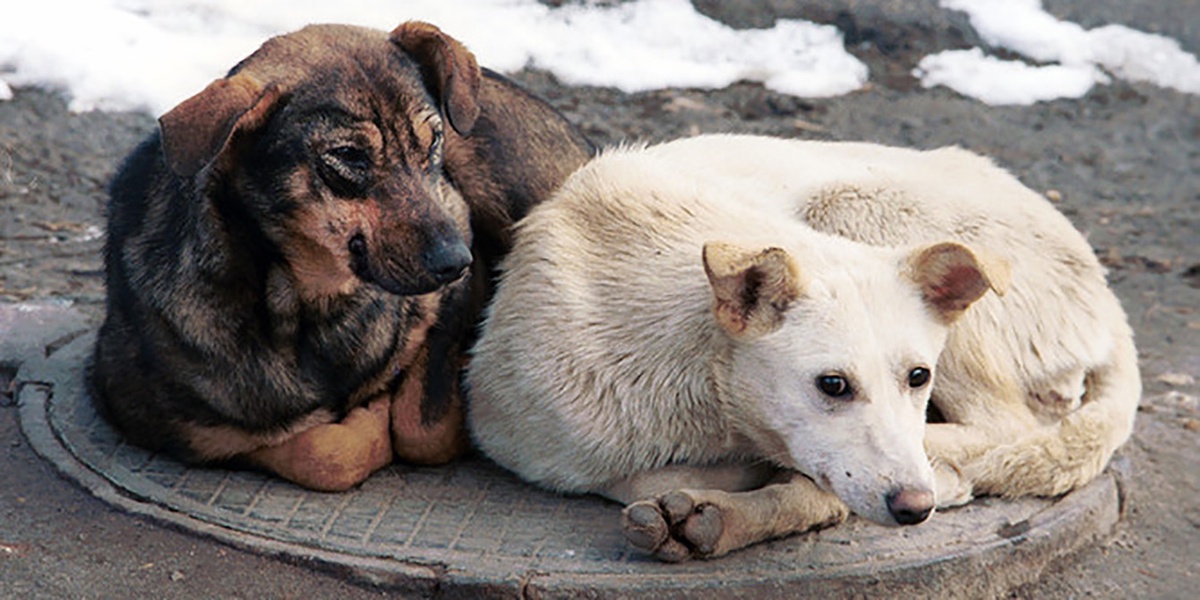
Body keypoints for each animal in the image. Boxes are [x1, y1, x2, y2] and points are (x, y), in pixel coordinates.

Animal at [87, 22, 590, 492]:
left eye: (432, 141)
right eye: (348, 155)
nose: (455, 261)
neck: (308, 309)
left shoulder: (455, 254)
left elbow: (422, 428)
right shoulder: (166, 423)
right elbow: (322, 452)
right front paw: (369, 415)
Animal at [463, 133, 1137, 559]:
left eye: (918, 377)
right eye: (832, 385)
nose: (914, 507)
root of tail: (1108, 294)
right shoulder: (522, 442)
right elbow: (640, 475)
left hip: (857, 203)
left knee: (1009, 424)